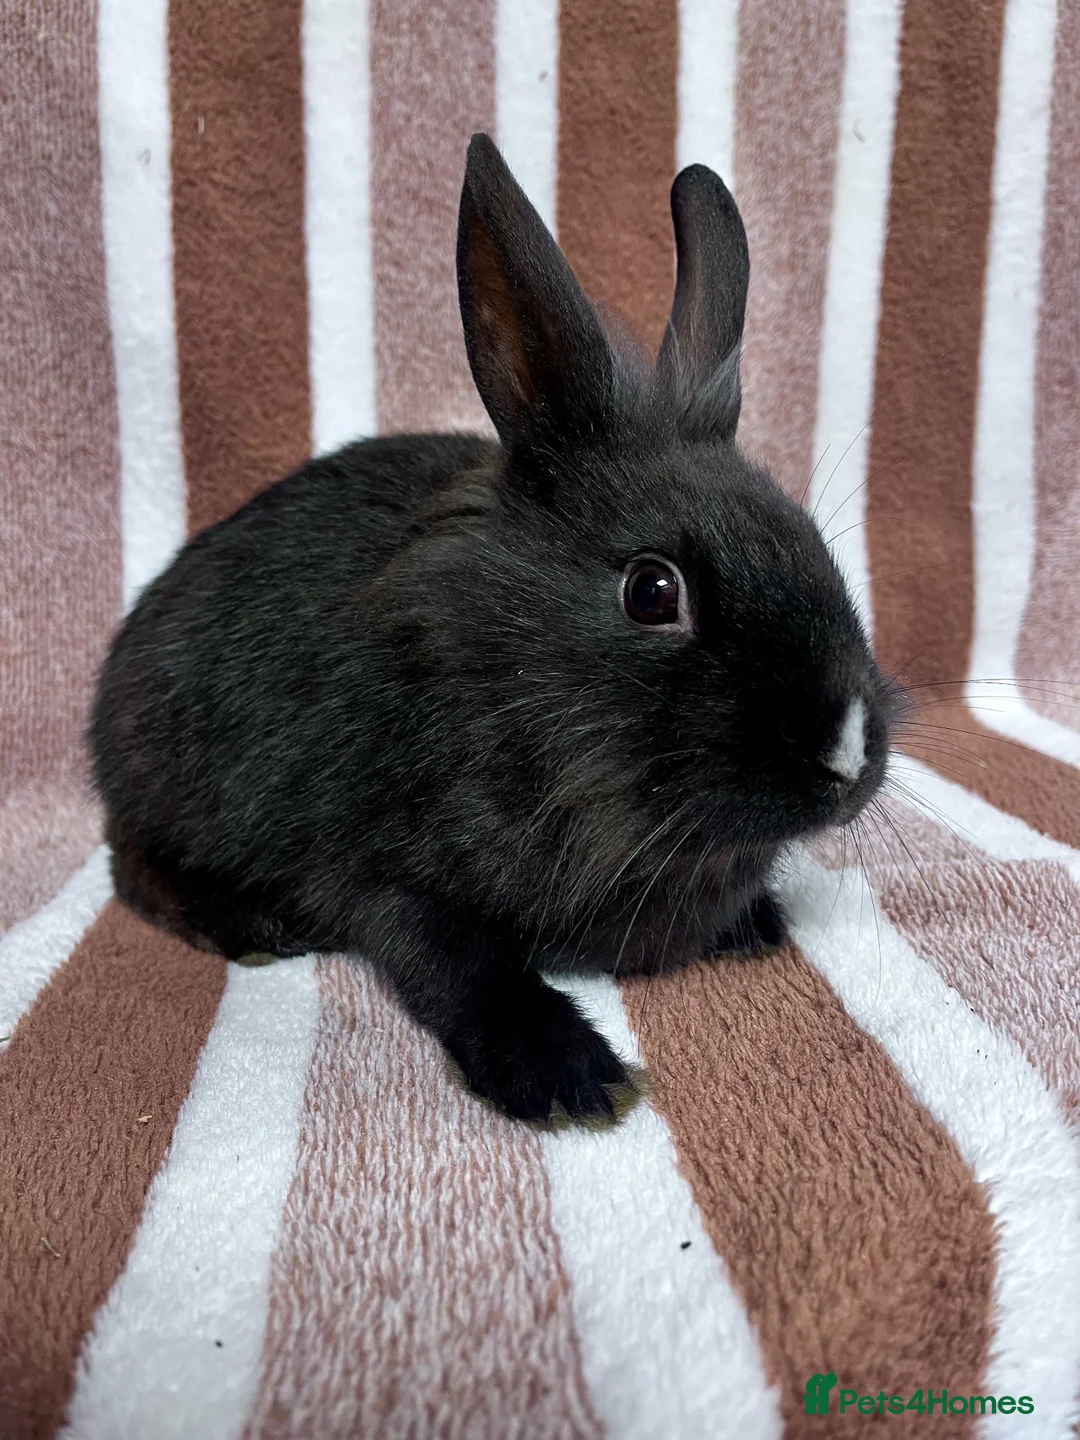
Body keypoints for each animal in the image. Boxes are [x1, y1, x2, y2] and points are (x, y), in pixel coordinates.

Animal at [90, 133, 898, 1123]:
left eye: (812, 543)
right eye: (651, 592)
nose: (849, 756)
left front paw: (756, 925)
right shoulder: (383, 874)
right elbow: (456, 964)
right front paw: (571, 1079)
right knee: (132, 864)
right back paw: (252, 923)